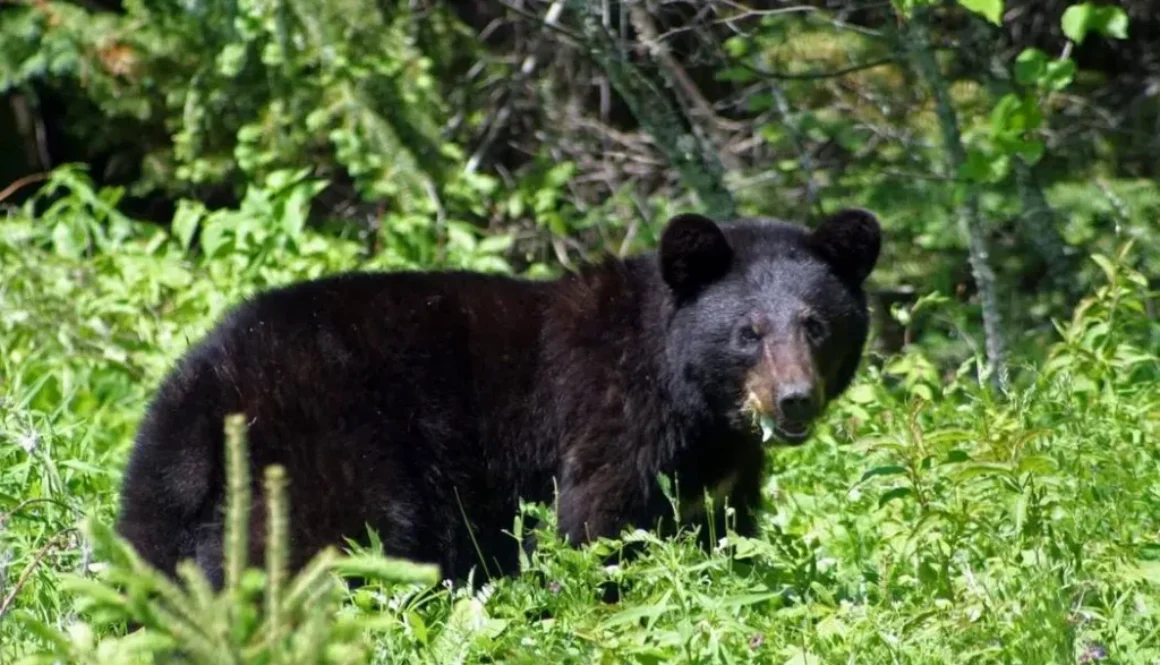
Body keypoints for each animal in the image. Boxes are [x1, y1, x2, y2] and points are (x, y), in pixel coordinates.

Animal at [114, 208, 881, 587]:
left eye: (815, 323)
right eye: (748, 332)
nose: (793, 400)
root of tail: (206, 389)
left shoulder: (721, 468)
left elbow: (723, 528)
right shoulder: (611, 419)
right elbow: (593, 529)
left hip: (168, 502)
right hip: (328, 454)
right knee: (321, 546)